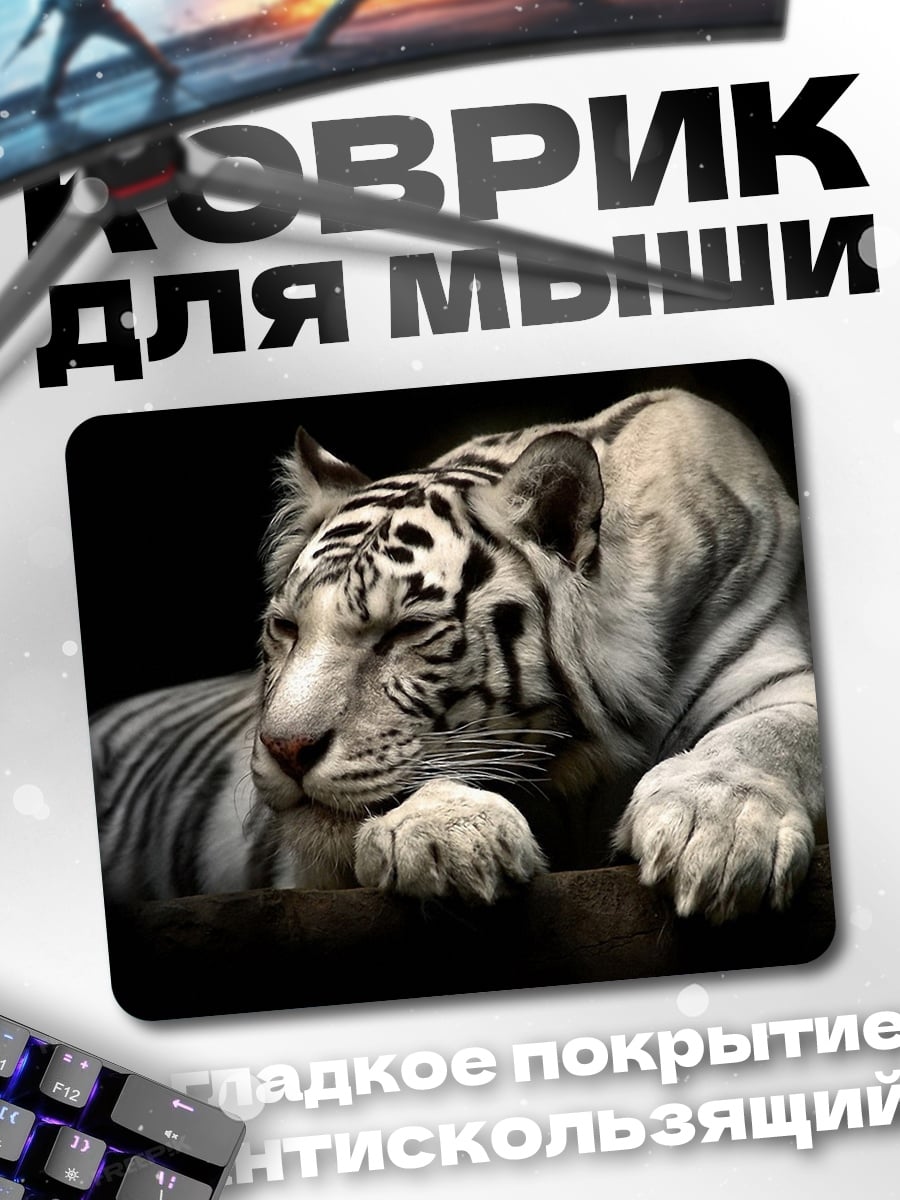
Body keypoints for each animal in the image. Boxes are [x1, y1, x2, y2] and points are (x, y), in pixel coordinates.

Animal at [92, 387, 824, 923]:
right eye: (287, 628)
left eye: (406, 630)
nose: (285, 750)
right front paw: (445, 837)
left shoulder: (775, 665)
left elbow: (773, 735)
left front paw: (717, 833)